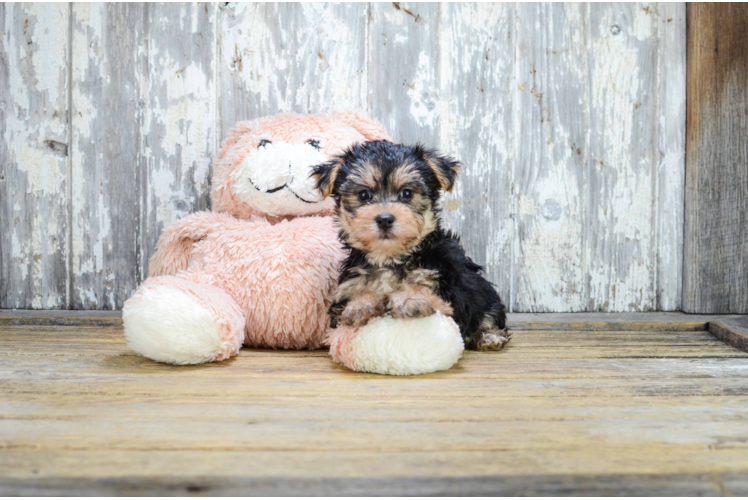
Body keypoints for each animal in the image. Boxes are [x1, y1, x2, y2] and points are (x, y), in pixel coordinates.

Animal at [312, 141, 512, 352]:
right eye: (364, 194)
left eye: (406, 193)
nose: (384, 219)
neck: (392, 257)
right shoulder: (346, 289)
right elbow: (356, 297)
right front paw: (360, 304)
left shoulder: (451, 293)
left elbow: (431, 295)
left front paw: (410, 298)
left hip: (483, 294)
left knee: (488, 316)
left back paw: (490, 336)